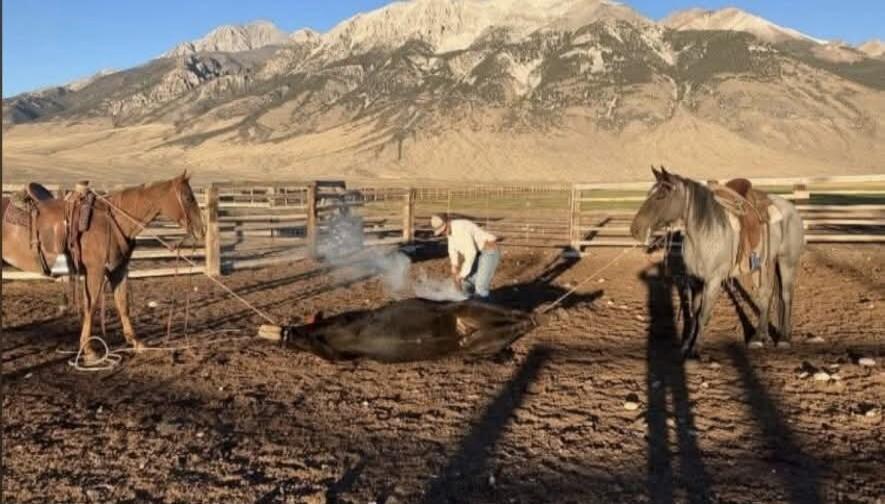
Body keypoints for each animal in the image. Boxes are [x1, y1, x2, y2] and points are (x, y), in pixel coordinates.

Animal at [1, 172, 205, 364]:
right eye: (188, 198)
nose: (201, 231)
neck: (114, 221)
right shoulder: (95, 271)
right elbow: (90, 306)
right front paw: (89, 350)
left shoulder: (118, 270)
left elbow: (123, 304)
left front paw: (136, 343)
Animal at [630, 167, 804, 357]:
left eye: (661, 196)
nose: (635, 229)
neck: (705, 233)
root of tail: (792, 209)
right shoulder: (696, 281)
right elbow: (694, 314)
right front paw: (686, 345)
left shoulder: (713, 281)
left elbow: (703, 315)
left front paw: (696, 349)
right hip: (764, 264)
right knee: (765, 296)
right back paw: (759, 338)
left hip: (786, 262)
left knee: (786, 296)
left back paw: (784, 339)